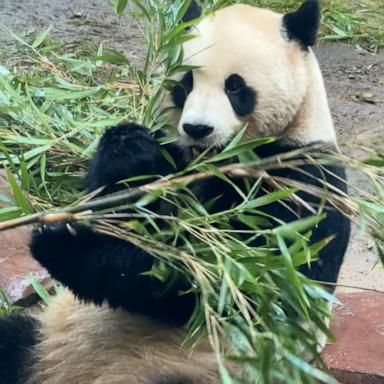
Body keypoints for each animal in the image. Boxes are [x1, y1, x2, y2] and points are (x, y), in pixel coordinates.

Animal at [0, 1, 352, 382]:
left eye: (235, 87)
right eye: (186, 83)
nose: (198, 128)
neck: (215, 160)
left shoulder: (297, 180)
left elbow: (224, 283)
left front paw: (63, 243)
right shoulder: (173, 155)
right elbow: (120, 202)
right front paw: (127, 150)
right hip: (44, 341)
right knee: (12, 339)